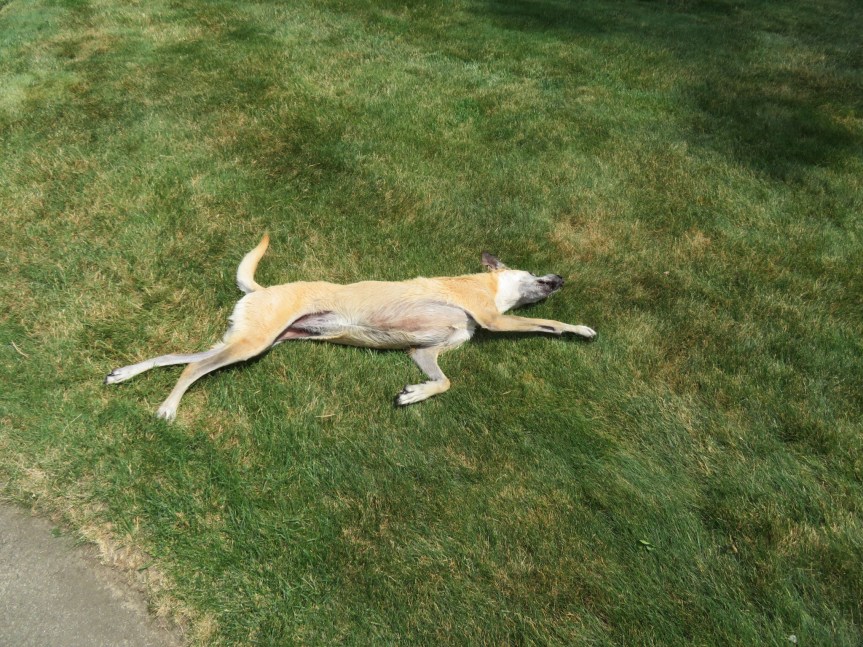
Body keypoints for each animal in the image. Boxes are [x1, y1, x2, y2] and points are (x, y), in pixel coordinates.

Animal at [105, 234, 596, 420]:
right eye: (533, 273)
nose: (560, 278)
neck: (487, 284)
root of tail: (261, 289)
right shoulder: (495, 317)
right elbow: (548, 322)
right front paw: (581, 328)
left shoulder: (423, 352)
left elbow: (444, 381)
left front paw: (413, 394)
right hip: (251, 343)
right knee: (190, 368)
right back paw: (168, 409)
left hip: (250, 340)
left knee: (176, 357)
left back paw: (124, 373)